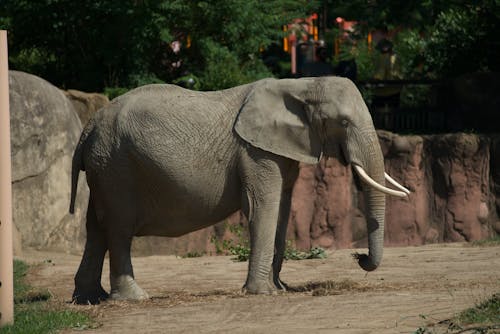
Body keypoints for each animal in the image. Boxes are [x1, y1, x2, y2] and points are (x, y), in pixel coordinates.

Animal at [68, 77, 408, 304]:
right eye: (344, 122)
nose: (358, 257)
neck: (301, 86)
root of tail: (87, 128)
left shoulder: (281, 150)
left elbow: (282, 211)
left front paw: (279, 288)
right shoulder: (254, 152)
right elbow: (263, 208)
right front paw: (263, 293)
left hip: (105, 167)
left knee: (96, 227)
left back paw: (89, 298)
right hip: (116, 166)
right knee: (119, 228)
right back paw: (135, 298)